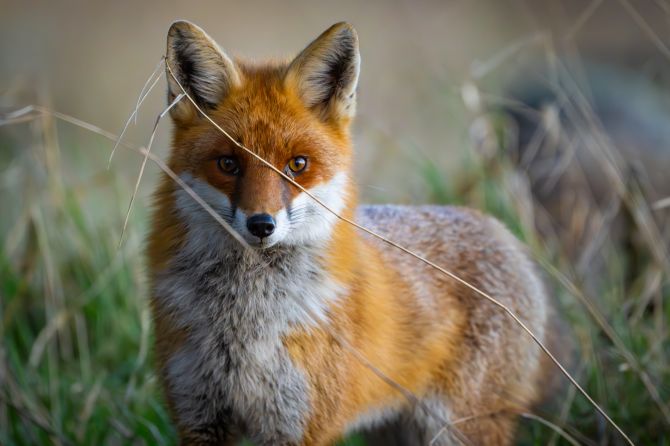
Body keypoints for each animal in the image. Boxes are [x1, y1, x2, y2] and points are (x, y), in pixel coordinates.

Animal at [147, 20, 560, 446]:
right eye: (228, 164)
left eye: (298, 164)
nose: (261, 224)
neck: (247, 320)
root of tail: (501, 231)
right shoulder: (198, 414)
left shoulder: (297, 425)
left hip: (455, 429)